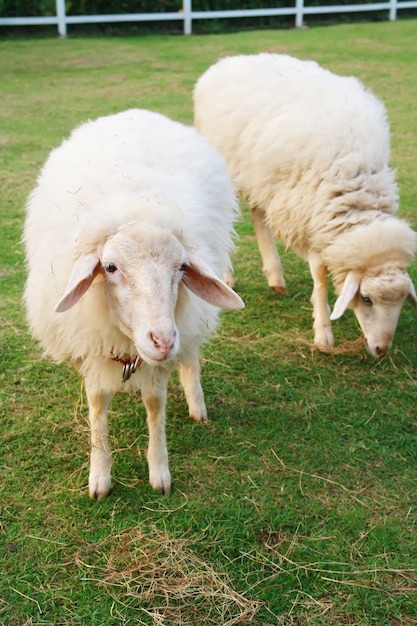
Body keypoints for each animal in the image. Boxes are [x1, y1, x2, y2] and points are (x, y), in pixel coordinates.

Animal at [23, 107, 244, 498]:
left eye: (182, 266)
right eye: (110, 267)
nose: (163, 340)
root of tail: (136, 112)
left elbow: (155, 404)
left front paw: (159, 471)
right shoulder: (91, 343)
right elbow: (97, 403)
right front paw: (100, 476)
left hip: (191, 321)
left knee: (191, 356)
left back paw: (196, 402)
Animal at [193, 52, 416, 356]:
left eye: (402, 301)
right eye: (367, 299)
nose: (381, 350)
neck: (356, 187)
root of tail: (231, 60)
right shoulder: (308, 213)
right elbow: (320, 276)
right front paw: (323, 332)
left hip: (261, 177)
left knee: (258, 215)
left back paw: (275, 277)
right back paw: (228, 276)